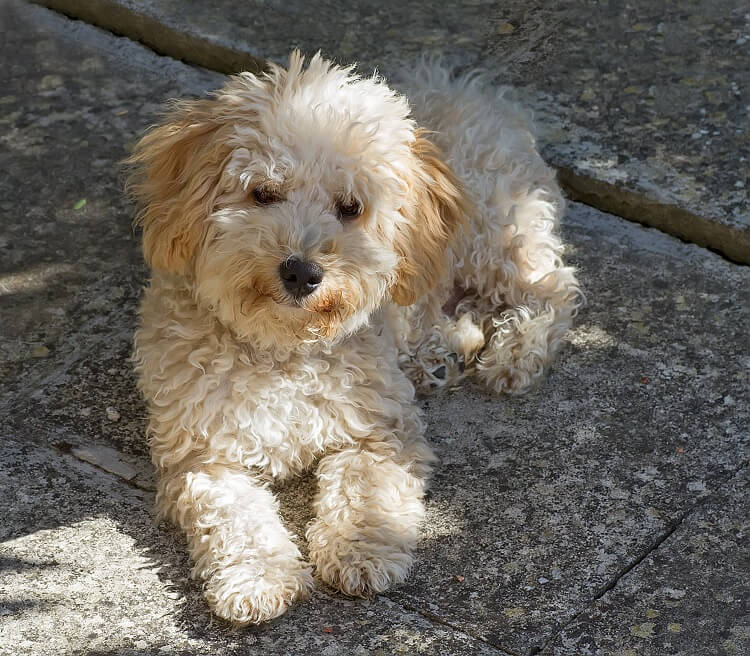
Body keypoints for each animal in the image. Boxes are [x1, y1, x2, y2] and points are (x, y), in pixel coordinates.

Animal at [129, 51, 584, 624]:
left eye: (351, 207)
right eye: (263, 193)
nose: (301, 271)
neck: (285, 351)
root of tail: (472, 91)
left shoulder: (381, 431)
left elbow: (367, 492)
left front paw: (361, 553)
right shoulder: (204, 456)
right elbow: (236, 517)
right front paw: (258, 578)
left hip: (496, 236)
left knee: (553, 289)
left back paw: (514, 353)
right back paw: (442, 353)